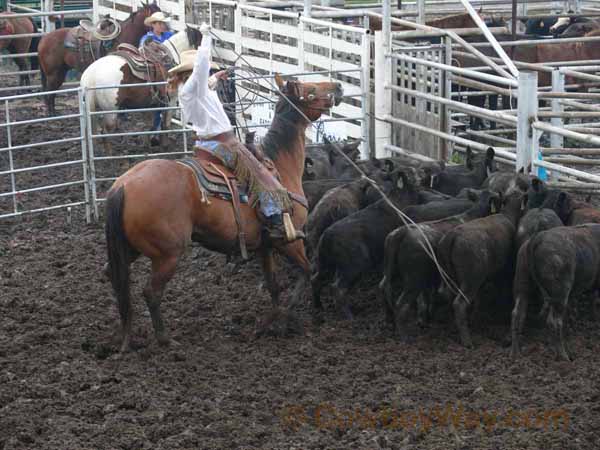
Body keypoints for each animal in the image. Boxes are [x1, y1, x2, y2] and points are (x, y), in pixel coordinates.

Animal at [105, 76, 344, 352]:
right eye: (311, 90)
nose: (338, 86)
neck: (280, 165)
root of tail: (122, 185)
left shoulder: (265, 245)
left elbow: (273, 284)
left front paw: (270, 321)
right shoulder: (289, 240)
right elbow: (306, 272)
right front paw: (286, 318)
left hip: (129, 247)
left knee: (115, 277)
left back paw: (123, 336)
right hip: (167, 255)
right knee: (151, 292)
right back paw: (165, 339)